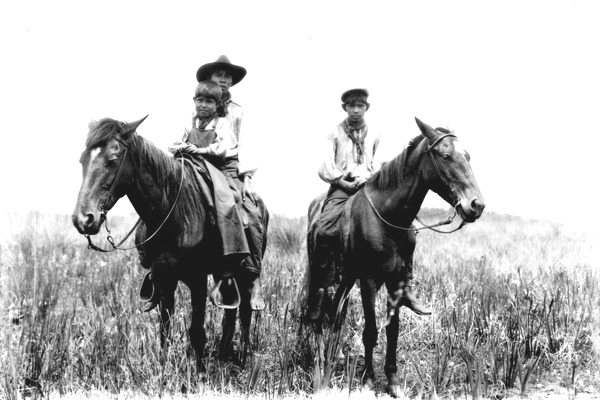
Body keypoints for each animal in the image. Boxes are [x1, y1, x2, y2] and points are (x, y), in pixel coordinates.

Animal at [71, 115, 268, 372]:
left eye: (112, 160)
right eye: (82, 160)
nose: (83, 219)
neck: (174, 211)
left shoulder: (197, 279)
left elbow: (197, 332)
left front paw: (199, 372)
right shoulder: (164, 278)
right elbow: (165, 329)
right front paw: (164, 368)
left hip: (244, 272)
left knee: (244, 312)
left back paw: (242, 358)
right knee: (231, 313)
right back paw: (223, 354)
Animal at [308, 116, 486, 396]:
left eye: (467, 156)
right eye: (446, 156)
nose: (476, 205)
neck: (387, 218)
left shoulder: (396, 283)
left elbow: (393, 330)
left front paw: (392, 380)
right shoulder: (369, 281)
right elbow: (371, 331)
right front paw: (368, 379)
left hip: (347, 278)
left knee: (337, 312)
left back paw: (335, 355)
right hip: (326, 276)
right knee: (319, 313)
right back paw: (319, 360)